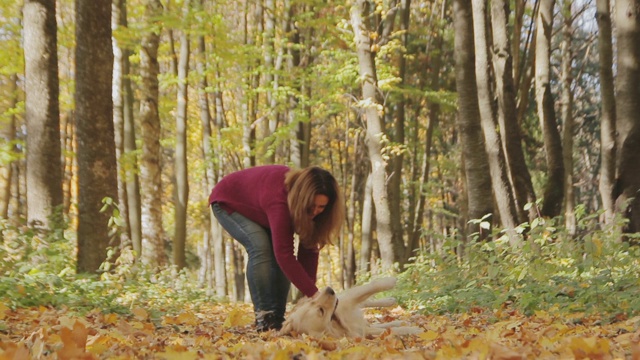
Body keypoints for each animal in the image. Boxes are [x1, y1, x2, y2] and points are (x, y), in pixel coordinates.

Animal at [278, 278, 420, 338]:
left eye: (312, 303)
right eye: (321, 311)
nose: (330, 290)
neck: (335, 322)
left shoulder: (348, 300)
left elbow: (372, 285)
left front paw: (390, 281)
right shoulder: (362, 332)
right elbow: (392, 331)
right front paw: (414, 329)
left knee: (366, 302)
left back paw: (390, 300)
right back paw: (399, 322)